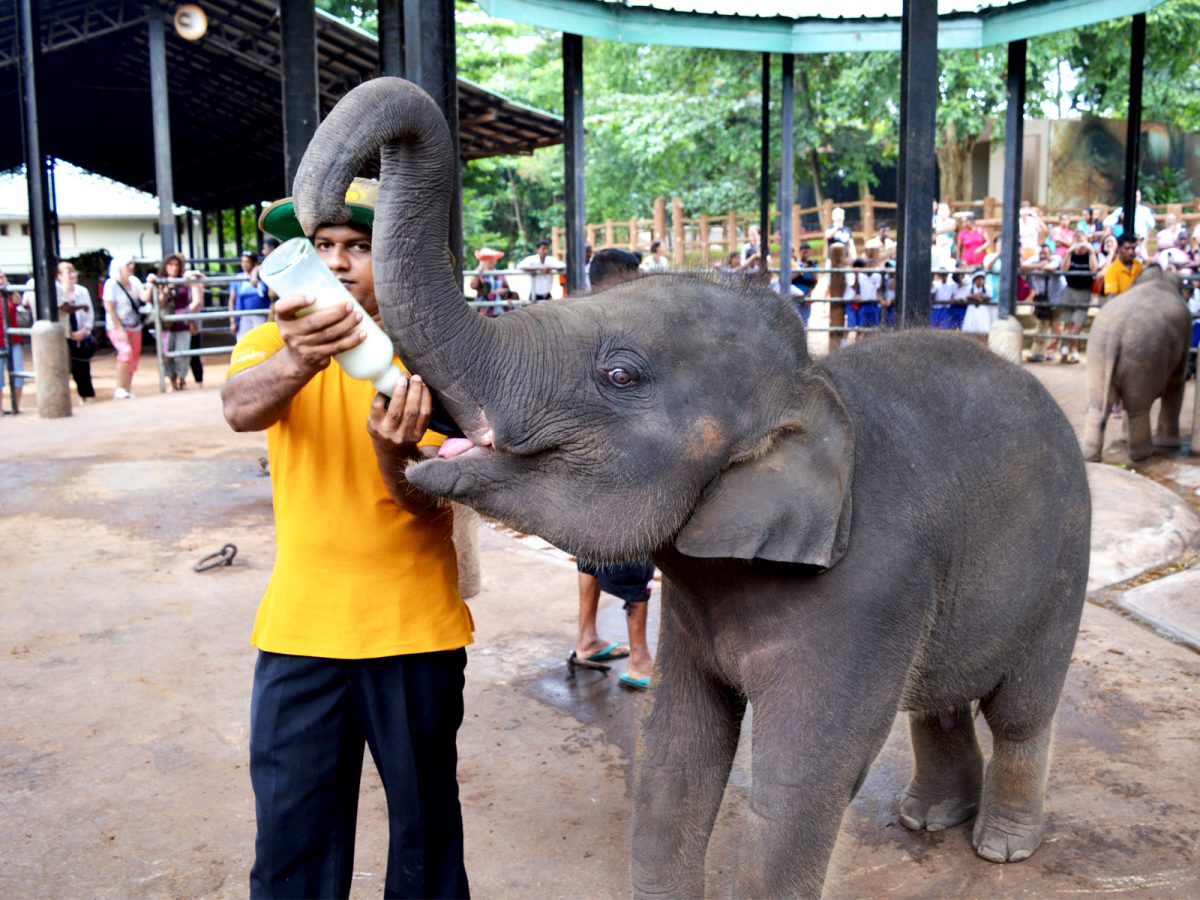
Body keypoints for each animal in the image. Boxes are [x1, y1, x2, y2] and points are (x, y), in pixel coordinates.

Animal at [291, 78, 1091, 898]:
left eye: (619, 374)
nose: (320, 218)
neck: (810, 388)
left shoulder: (871, 591)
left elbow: (801, 781)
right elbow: (676, 747)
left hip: (1067, 555)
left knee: (1022, 706)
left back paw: (1000, 847)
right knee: (939, 699)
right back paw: (928, 820)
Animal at [1082, 266, 1192, 462]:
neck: (1159, 279)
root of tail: (1116, 329)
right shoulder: (1186, 332)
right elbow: (1176, 383)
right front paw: (1169, 446)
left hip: (1099, 350)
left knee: (1100, 402)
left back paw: (1090, 456)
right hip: (1144, 353)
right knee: (1138, 405)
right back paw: (1145, 454)